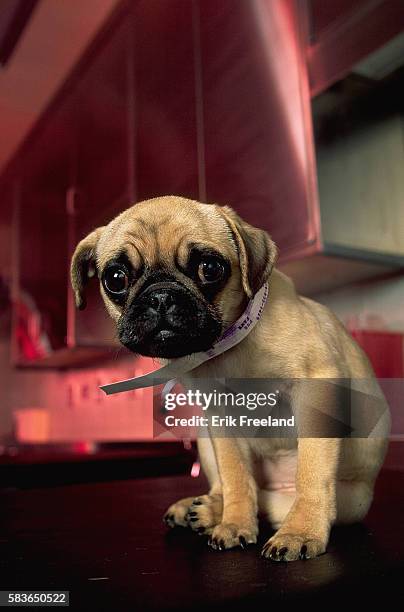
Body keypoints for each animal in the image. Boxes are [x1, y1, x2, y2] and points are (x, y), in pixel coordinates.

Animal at [71, 197, 390, 564]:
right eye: (116, 278)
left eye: (209, 268)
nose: (161, 296)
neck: (229, 345)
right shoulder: (220, 419)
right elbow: (236, 475)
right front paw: (235, 522)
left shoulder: (317, 387)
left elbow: (311, 474)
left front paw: (301, 531)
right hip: (204, 438)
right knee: (230, 486)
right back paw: (206, 508)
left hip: (353, 498)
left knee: (279, 500)